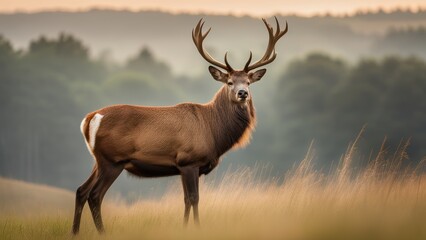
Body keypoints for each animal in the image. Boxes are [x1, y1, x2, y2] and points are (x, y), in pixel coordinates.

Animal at [72, 16, 286, 234]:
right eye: (229, 82)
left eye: (249, 82)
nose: (243, 93)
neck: (213, 130)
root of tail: (91, 118)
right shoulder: (188, 160)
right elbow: (193, 198)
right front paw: (194, 228)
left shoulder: (189, 167)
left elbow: (187, 200)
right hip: (112, 160)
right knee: (95, 195)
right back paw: (101, 232)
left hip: (99, 159)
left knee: (81, 190)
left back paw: (75, 231)